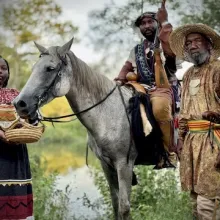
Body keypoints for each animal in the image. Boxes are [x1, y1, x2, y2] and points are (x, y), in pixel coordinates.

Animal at [13, 38, 138, 219]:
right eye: (34, 68)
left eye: (50, 68)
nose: (19, 104)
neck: (108, 112)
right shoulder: (106, 165)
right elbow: (115, 205)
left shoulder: (124, 164)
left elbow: (124, 208)